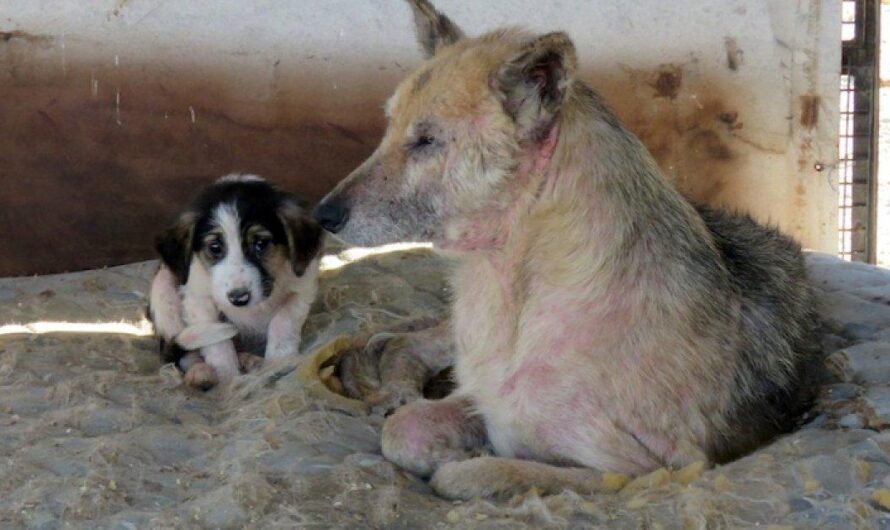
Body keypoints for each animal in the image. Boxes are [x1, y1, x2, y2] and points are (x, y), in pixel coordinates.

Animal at [148, 175, 322, 386]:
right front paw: (228, 379)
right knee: (181, 350)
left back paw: (250, 360)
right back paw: (201, 372)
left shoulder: (302, 288)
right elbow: (219, 346)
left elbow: (283, 322)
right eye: (215, 247)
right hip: (163, 287)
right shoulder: (198, 298)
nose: (239, 298)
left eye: (261, 243)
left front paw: (277, 363)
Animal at [312, 0, 820, 498]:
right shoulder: (479, 396)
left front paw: (470, 460)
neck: (522, 287)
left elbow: (475, 474)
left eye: (426, 140)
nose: (323, 214)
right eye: (389, 127)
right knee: (409, 344)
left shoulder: (649, 472)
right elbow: (402, 430)